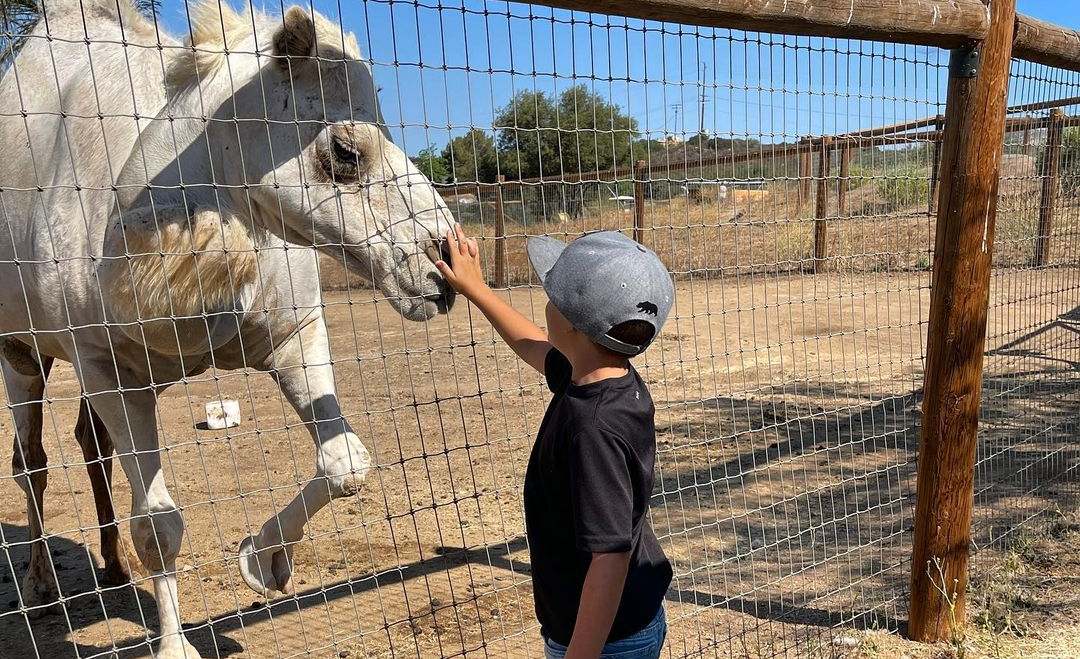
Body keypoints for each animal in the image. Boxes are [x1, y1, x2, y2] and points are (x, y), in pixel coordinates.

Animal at [0, 1, 455, 652]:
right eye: (345, 151)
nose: (445, 262)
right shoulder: (107, 365)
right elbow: (158, 523)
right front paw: (174, 646)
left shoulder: (292, 336)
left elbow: (346, 462)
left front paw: (263, 561)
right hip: (22, 351)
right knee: (31, 459)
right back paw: (40, 584)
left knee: (91, 446)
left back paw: (113, 568)